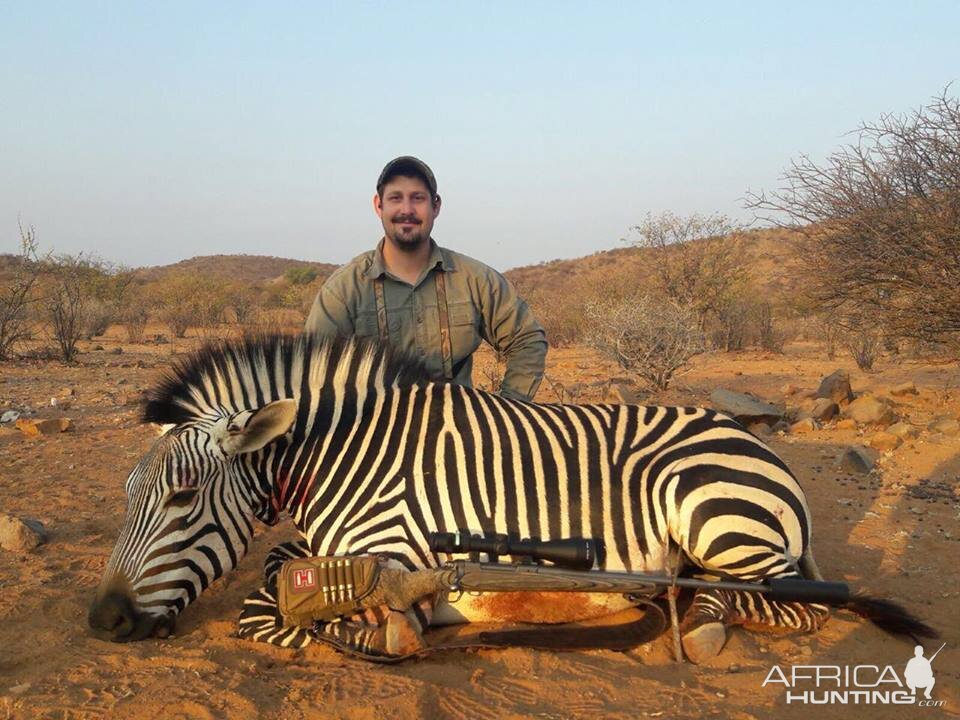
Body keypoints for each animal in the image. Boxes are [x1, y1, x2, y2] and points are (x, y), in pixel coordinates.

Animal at [88, 334, 928, 660]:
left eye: (182, 499)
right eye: (127, 496)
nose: (104, 621)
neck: (345, 454)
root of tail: (761, 448)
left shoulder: (388, 548)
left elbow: (275, 606)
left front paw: (389, 630)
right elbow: (276, 577)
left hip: (710, 512)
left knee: (790, 604)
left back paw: (700, 623)